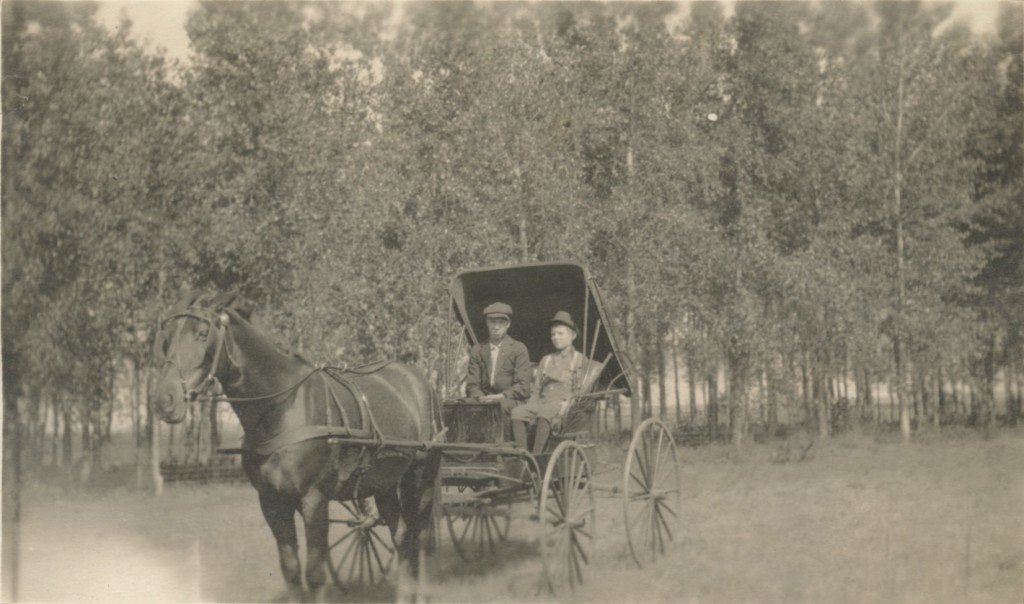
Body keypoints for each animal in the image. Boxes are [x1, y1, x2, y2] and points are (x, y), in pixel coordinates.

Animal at [149, 292, 444, 601]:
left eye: (203, 334)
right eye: (167, 337)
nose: (164, 400)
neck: (283, 409)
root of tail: (418, 381)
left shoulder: (314, 499)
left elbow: (314, 574)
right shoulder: (271, 501)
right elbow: (290, 569)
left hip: (420, 481)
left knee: (421, 540)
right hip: (384, 485)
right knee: (403, 539)